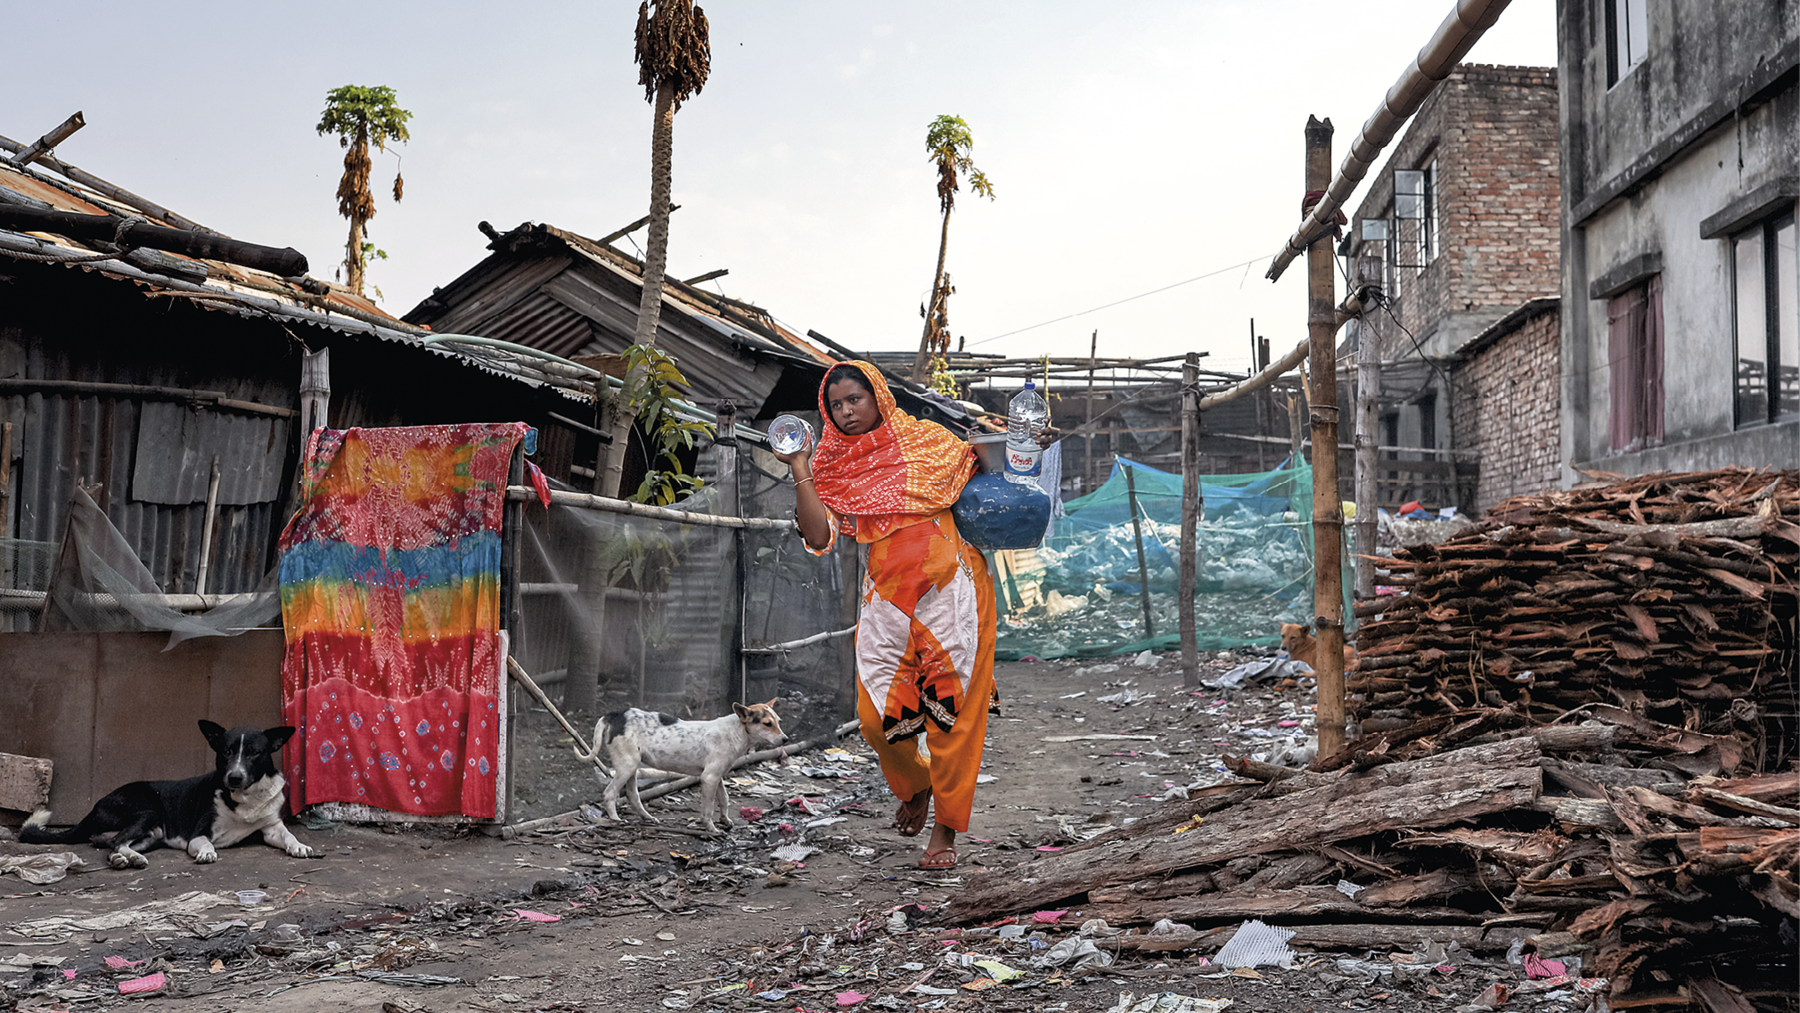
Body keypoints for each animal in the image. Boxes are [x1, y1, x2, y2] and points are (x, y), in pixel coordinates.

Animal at [20, 719, 324, 870]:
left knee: (112, 843)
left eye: (254, 753)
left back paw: (127, 858)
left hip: (153, 832)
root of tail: (94, 807)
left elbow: (287, 835)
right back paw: (127, 858)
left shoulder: (270, 827)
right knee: (117, 840)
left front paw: (298, 845)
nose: (234, 777)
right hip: (149, 809)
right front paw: (207, 853)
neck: (245, 798)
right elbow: (205, 843)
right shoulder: (199, 832)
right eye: (226, 751)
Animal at [576, 701, 788, 834]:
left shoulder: (717, 776)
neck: (737, 731)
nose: (786, 739)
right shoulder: (709, 778)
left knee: (632, 796)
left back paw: (648, 818)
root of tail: (614, 715)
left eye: (779, 722)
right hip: (626, 767)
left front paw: (725, 820)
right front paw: (711, 828)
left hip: (631, 768)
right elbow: (708, 808)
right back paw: (615, 820)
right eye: (767, 724)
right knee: (610, 793)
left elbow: (724, 799)